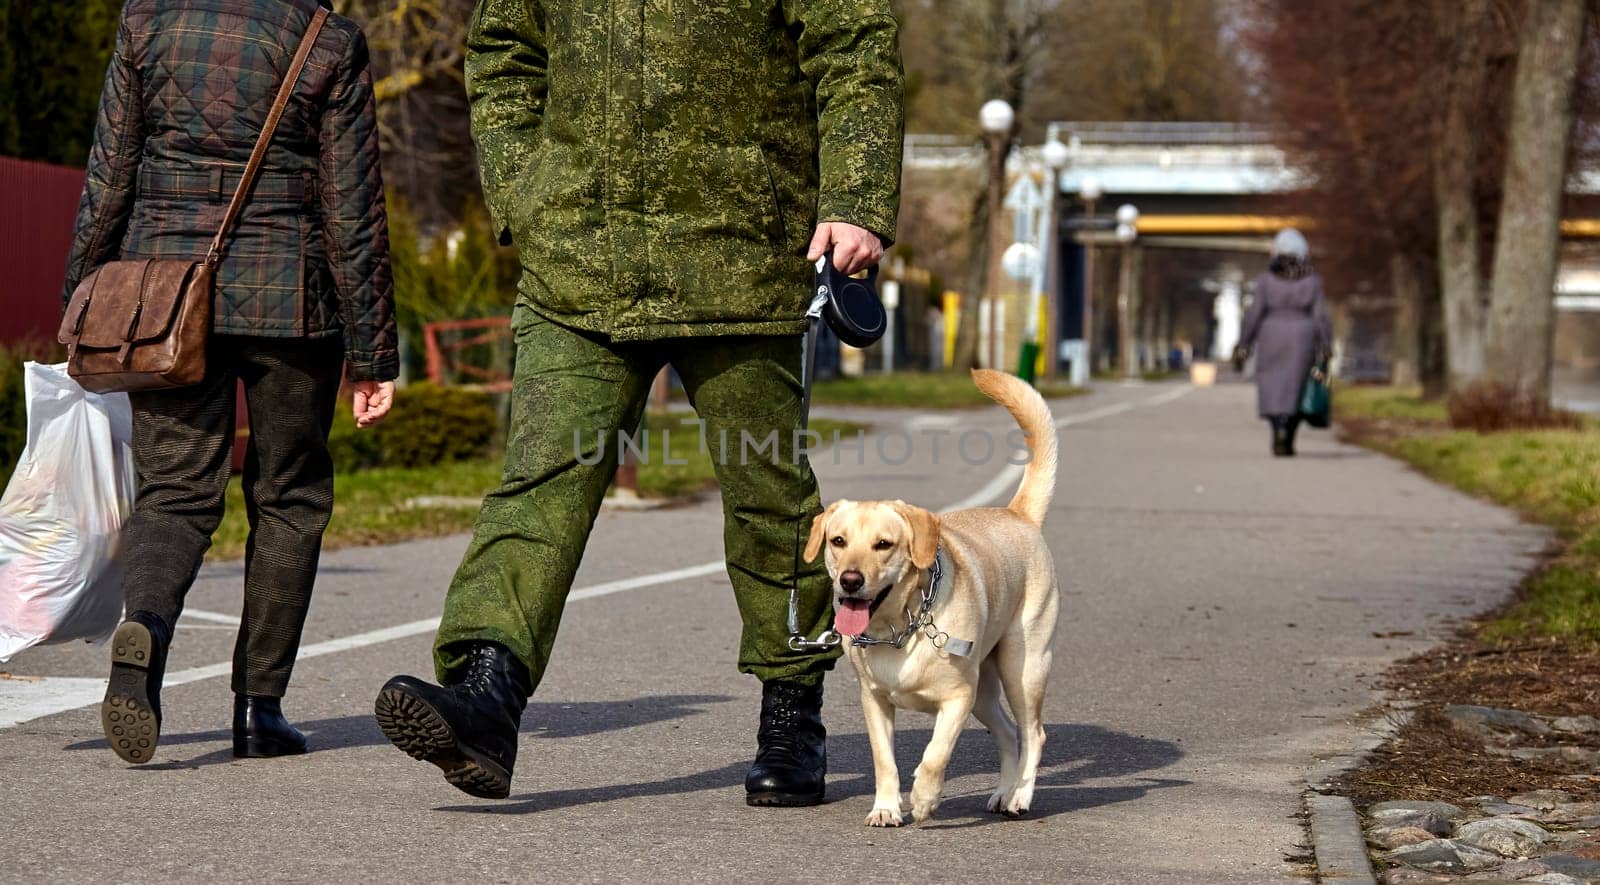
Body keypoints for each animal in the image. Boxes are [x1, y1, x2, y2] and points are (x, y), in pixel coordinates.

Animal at [806, 363, 1056, 819]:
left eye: (883, 544)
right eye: (838, 541)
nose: (850, 580)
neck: (898, 628)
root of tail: (1018, 514)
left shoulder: (957, 698)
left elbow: (936, 753)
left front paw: (923, 798)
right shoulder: (875, 701)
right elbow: (884, 760)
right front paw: (887, 808)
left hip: (1022, 669)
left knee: (1033, 733)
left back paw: (1020, 795)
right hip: (986, 691)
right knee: (1008, 733)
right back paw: (1003, 791)